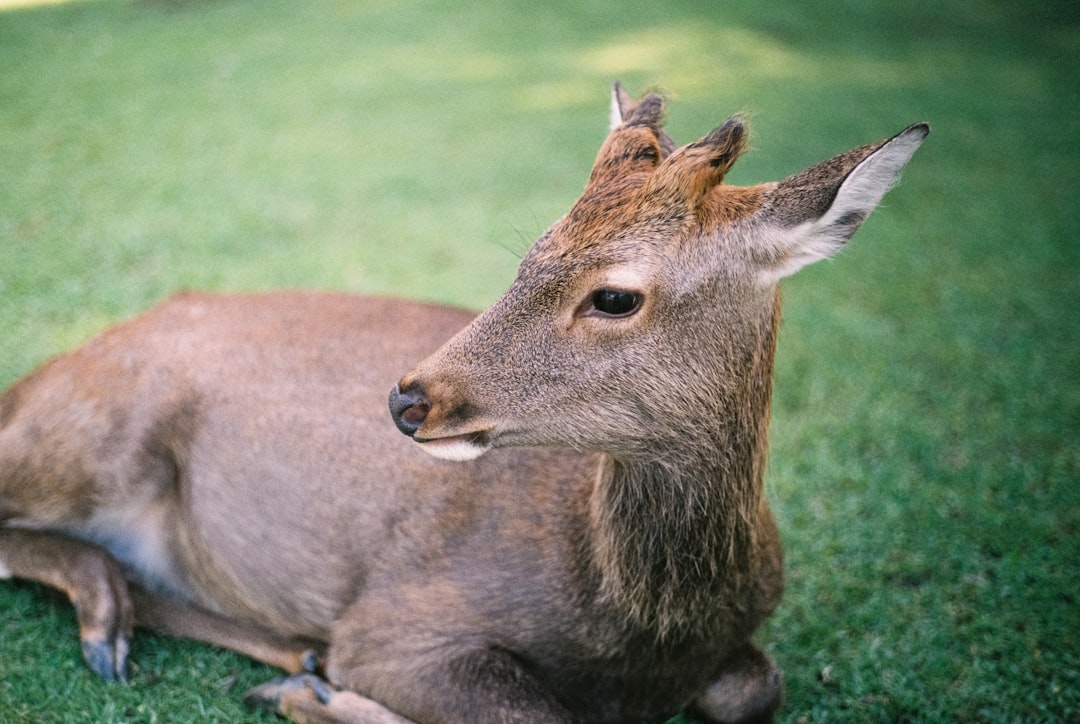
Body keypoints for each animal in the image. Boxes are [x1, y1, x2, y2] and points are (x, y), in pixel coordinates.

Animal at [0, 83, 928, 721]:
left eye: (615, 296)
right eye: (531, 252)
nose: (407, 398)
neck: (638, 634)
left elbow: (757, 687)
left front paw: (307, 686)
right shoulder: (399, 622)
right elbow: (534, 713)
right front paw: (322, 699)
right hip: (93, 436)